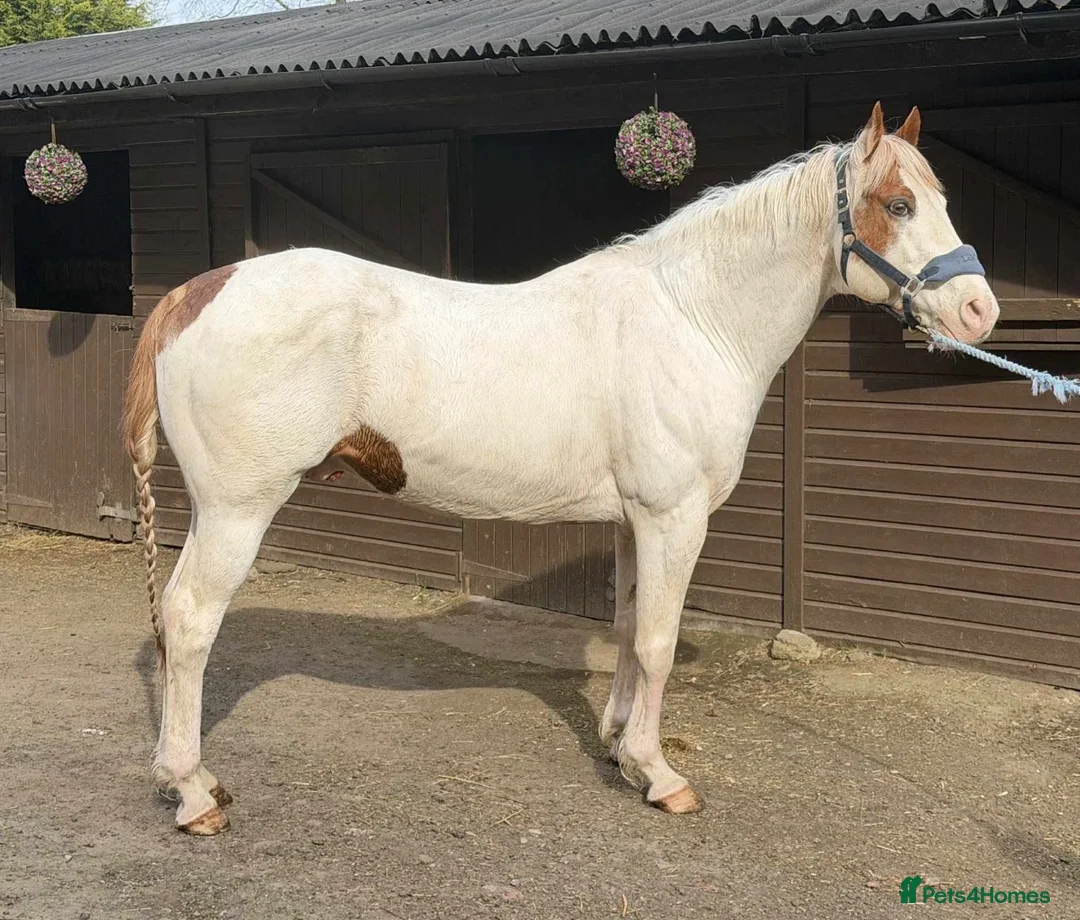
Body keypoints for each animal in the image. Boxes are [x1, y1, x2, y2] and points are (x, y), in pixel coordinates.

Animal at [122, 102, 999, 835]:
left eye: (941, 196)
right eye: (899, 205)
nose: (980, 312)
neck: (692, 319)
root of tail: (195, 292)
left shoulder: (635, 521)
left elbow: (627, 628)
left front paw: (618, 745)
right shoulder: (674, 516)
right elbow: (659, 641)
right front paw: (657, 774)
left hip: (211, 509)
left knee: (175, 614)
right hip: (240, 509)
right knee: (192, 619)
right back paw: (193, 792)